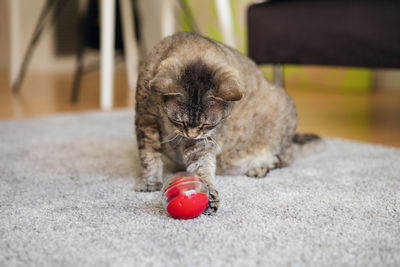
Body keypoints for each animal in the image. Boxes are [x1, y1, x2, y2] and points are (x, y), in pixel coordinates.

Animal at [134, 32, 318, 215]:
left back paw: (259, 167)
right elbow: (149, 157)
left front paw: (208, 192)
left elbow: (202, 166)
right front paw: (150, 182)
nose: (191, 134)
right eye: (179, 121)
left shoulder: (201, 141)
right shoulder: (145, 122)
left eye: (207, 125)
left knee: (282, 158)